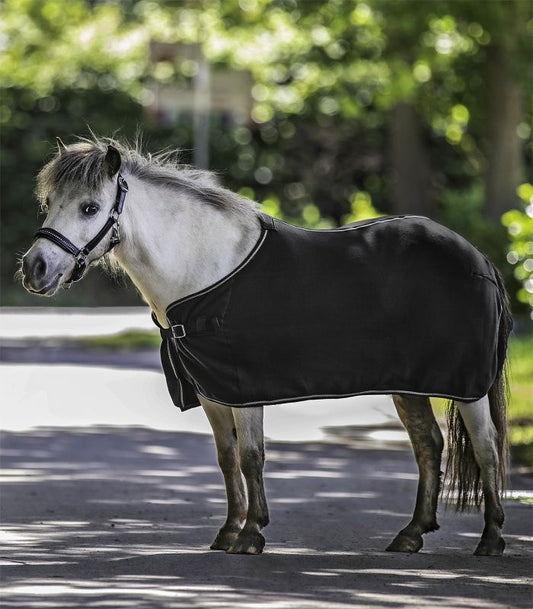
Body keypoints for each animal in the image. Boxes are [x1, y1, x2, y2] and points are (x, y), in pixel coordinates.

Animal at [21, 138, 512, 556]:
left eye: (90, 207)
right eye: (49, 203)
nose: (34, 268)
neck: (204, 269)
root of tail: (480, 259)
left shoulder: (244, 388)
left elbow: (252, 457)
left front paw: (252, 534)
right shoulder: (212, 392)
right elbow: (227, 459)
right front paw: (228, 531)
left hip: (467, 386)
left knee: (487, 446)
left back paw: (490, 539)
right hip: (409, 385)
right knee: (429, 445)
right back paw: (411, 535)